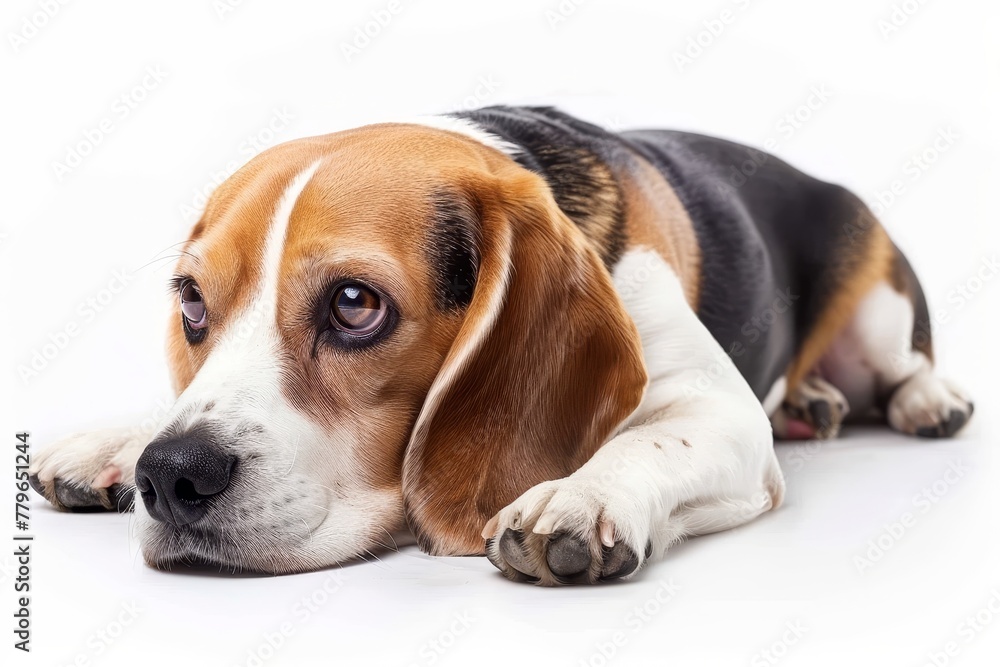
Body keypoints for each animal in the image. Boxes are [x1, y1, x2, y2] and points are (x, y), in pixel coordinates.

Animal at [29, 104, 968, 584]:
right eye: (192, 302)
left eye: (355, 304)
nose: (171, 473)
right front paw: (116, 442)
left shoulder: (721, 410)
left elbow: (648, 440)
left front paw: (578, 498)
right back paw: (815, 401)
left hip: (880, 311)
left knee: (905, 365)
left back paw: (925, 400)